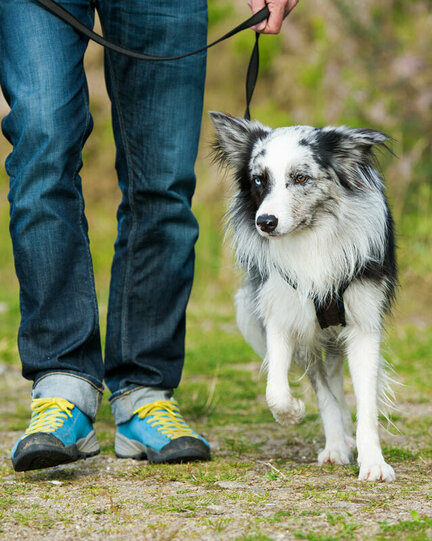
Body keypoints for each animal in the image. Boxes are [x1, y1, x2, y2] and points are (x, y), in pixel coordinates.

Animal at [210, 110, 398, 480]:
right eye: (258, 180)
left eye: (300, 177)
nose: (265, 222)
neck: (312, 236)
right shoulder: (284, 317)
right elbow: (280, 390)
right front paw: (299, 415)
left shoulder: (363, 325)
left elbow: (366, 401)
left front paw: (373, 462)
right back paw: (339, 439)